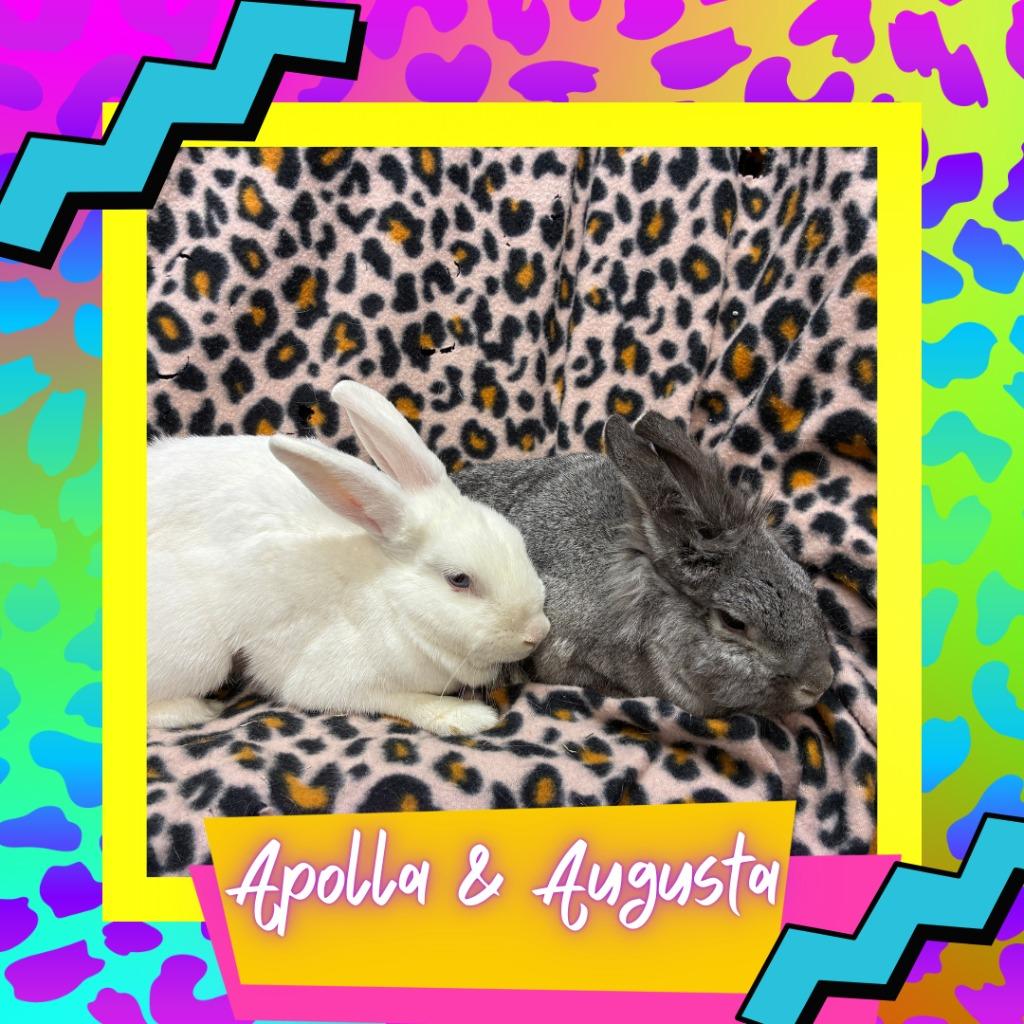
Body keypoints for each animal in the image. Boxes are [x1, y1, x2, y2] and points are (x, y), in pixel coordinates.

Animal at [146, 380, 550, 736]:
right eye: (459, 580)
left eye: (516, 541)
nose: (537, 632)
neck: (391, 602)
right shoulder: (334, 679)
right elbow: (403, 700)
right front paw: (466, 717)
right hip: (198, 651)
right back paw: (198, 710)